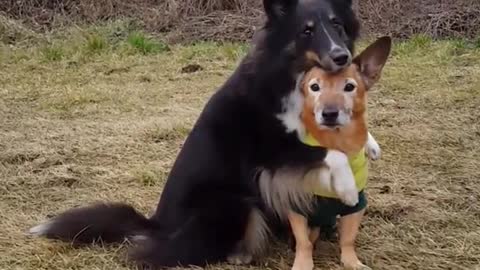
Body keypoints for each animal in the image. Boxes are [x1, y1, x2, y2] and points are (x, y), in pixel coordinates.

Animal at [30, 0, 358, 268]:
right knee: (160, 255)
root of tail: (156, 225)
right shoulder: (273, 147)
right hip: (231, 202)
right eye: (306, 31)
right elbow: (332, 155)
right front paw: (348, 186)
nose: (341, 56)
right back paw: (238, 253)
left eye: (337, 25)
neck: (294, 76)